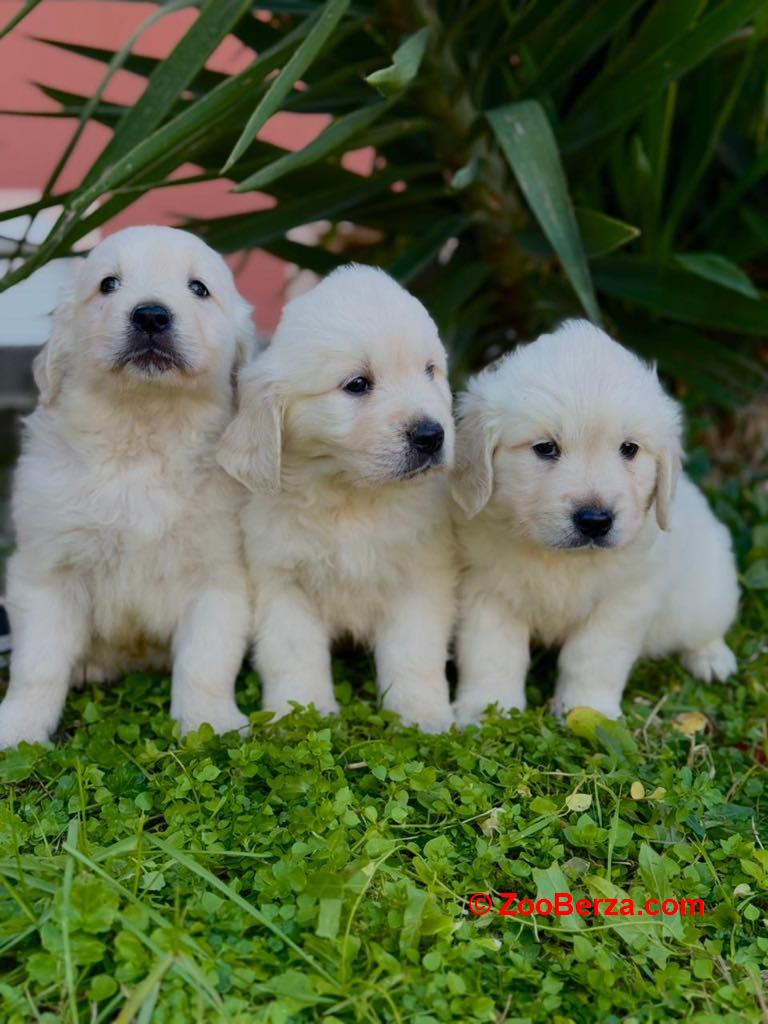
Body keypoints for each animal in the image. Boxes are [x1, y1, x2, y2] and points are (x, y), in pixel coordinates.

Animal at [0, 228, 259, 749]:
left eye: (198, 289)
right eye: (109, 284)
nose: (151, 315)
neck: (144, 430)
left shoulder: (219, 575)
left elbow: (206, 661)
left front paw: (210, 722)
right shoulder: (46, 569)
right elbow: (36, 666)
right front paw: (18, 728)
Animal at [217, 264, 456, 729]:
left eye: (430, 371)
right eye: (358, 384)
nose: (431, 435)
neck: (351, 495)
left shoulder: (419, 576)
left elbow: (414, 652)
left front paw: (422, 713)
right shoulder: (282, 579)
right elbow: (293, 653)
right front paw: (302, 713)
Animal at [450, 315, 741, 724]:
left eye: (629, 449)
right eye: (545, 448)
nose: (595, 520)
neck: (558, 558)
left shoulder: (623, 599)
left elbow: (592, 656)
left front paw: (587, 709)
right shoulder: (485, 588)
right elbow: (491, 653)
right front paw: (488, 708)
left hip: (708, 592)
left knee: (705, 628)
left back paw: (712, 659)